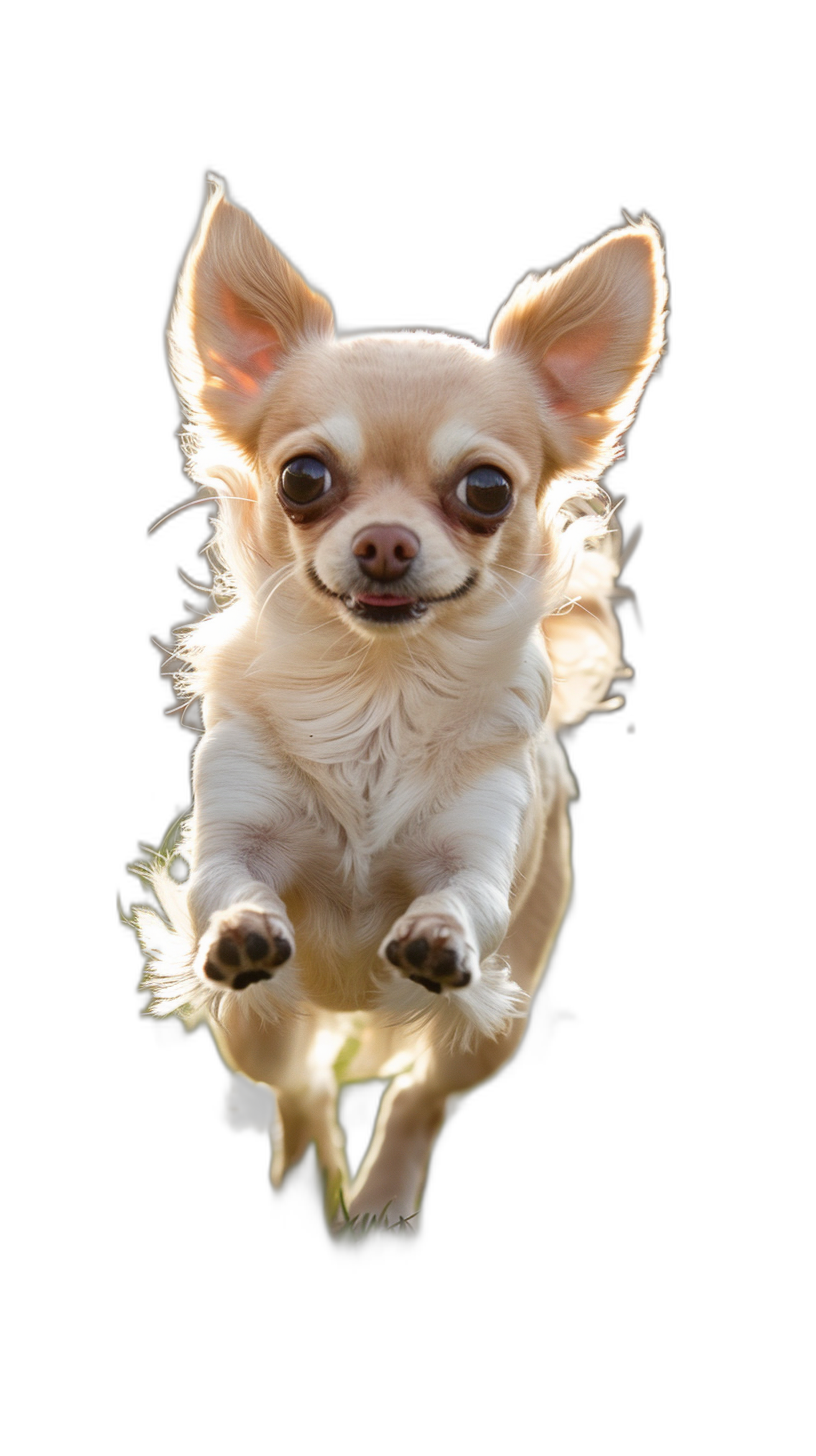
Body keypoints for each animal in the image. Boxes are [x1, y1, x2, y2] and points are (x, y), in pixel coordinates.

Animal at [134, 176, 667, 1234]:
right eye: (303, 477)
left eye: (487, 489)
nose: (385, 542)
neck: (375, 695)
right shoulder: (230, 841)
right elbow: (231, 885)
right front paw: (244, 923)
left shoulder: (483, 864)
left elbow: (458, 901)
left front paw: (434, 932)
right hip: (254, 1019)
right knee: (300, 1083)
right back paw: (308, 1174)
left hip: (491, 1023)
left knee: (419, 1097)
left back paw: (379, 1201)